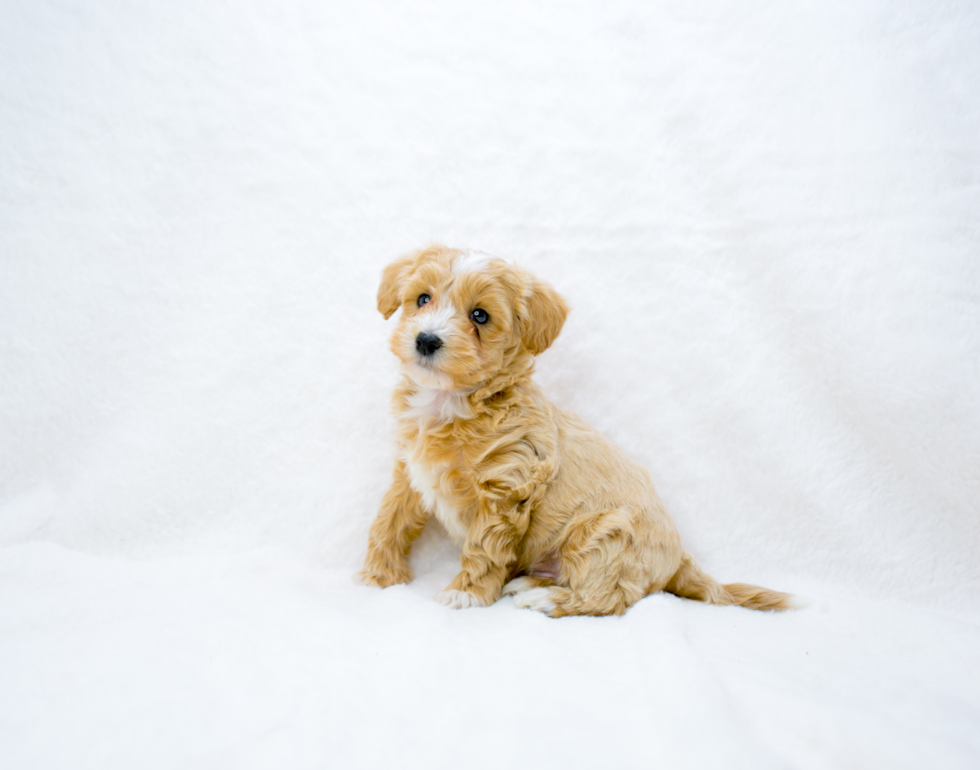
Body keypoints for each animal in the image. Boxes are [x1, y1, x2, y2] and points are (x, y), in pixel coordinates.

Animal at [356, 243, 792, 616]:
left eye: (480, 316)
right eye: (422, 299)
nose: (426, 340)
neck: (449, 403)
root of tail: (678, 561)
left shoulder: (505, 488)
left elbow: (483, 547)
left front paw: (466, 593)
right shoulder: (410, 473)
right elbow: (389, 520)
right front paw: (379, 575)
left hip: (600, 536)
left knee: (610, 597)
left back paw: (546, 599)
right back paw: (529, 584)